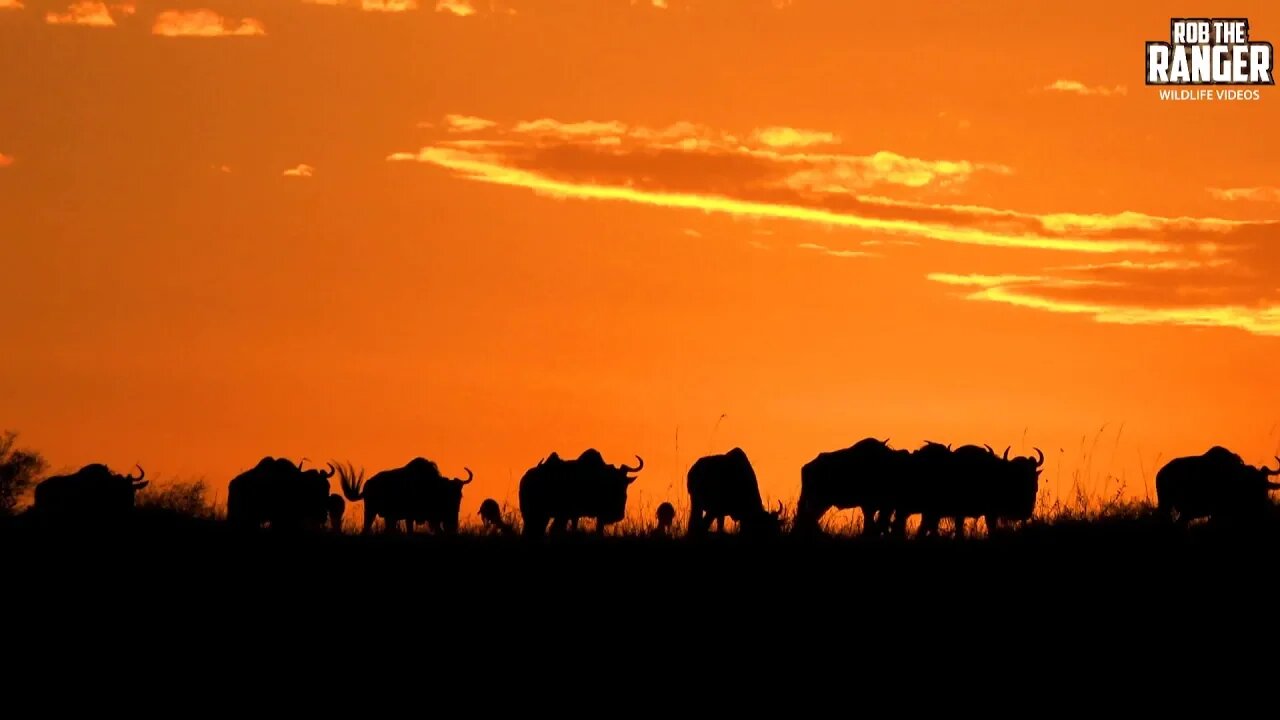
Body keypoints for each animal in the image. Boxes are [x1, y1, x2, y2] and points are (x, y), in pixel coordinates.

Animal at [340, 456, 476, 530]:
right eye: (446, 494)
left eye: (459, 495)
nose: (454, 514)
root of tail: (367, 486)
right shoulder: (410, 517)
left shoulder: (433, 519)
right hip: (371, 512)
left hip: (389, 517)